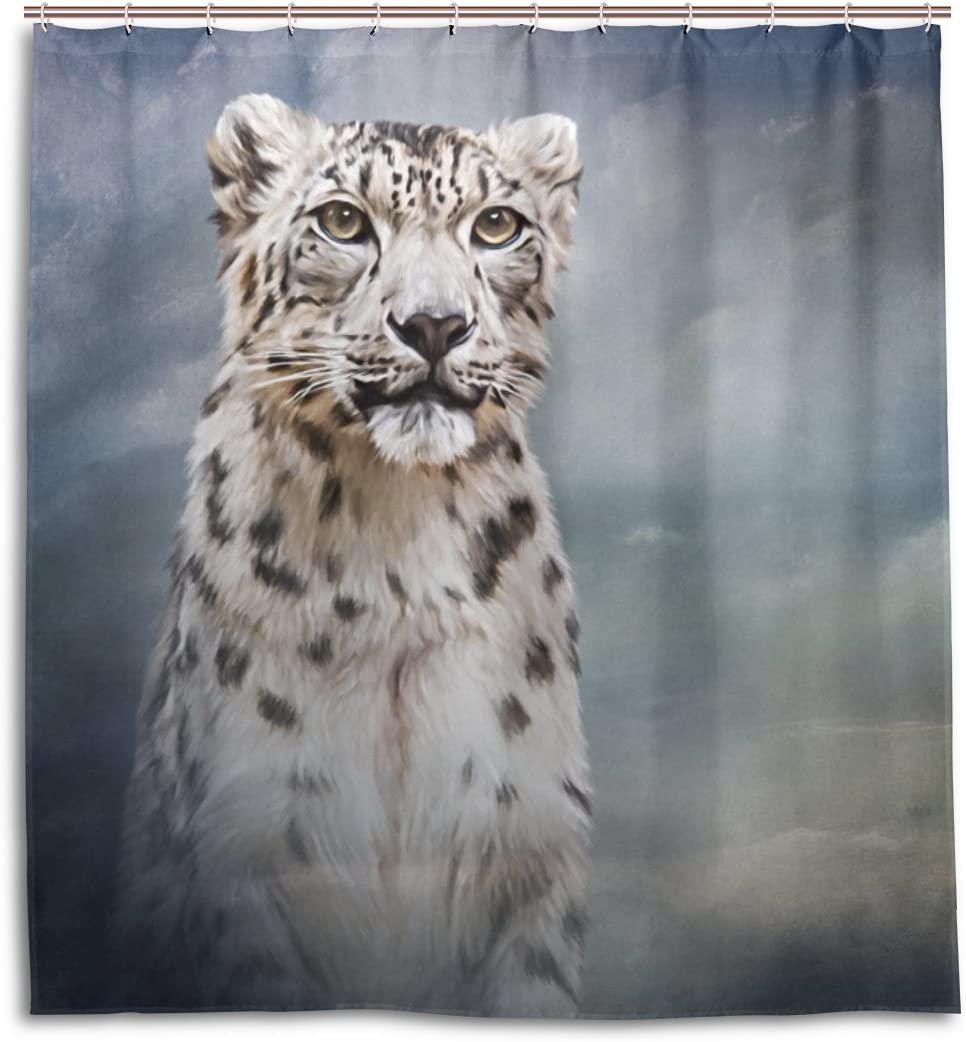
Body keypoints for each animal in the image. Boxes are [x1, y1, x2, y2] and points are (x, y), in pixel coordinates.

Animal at [114, 94, 590, 1017]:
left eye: (497, 225)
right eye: (342, 221)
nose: (435, 324)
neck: (397, 548)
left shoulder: (534, 845)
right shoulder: (245, 854)